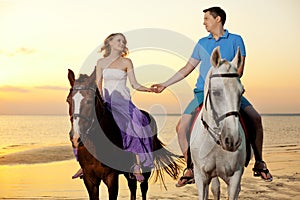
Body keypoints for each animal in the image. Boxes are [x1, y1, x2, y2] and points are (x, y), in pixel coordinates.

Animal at [66, 68, 183, 199]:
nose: (76, 137)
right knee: (132, 187)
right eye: (68, 100)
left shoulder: (111, 178)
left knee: (143, 188)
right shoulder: (89, 179)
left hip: (146, 168)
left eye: (89, 101)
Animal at [191, 47, 247, 200]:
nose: (232, 140)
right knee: (216, 188)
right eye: (215, 92)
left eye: (242, 92)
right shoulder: (201, 177)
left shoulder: (235, 177)